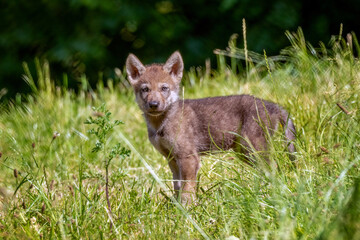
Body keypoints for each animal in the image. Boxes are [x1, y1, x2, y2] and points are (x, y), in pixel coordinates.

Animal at [126, 51, 296, 203]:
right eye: (145, 89)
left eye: (164, 88)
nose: (154, 104)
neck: (160, 125)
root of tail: (272, 105)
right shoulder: (172, 159)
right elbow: (177, 187)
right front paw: (176, 208)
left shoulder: (188, 157)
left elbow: (187, 189)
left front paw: (187, 210)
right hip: (244, 151)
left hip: (252, 148)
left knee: (274, 168)